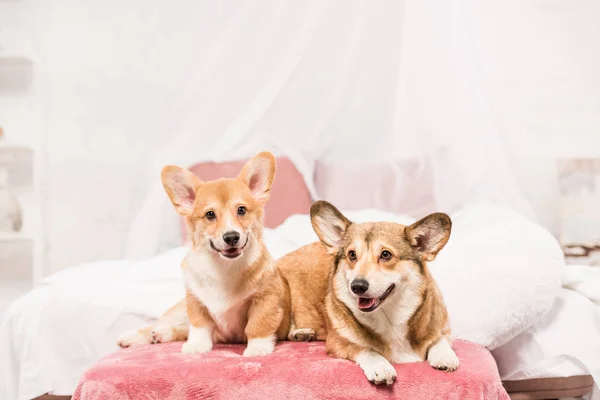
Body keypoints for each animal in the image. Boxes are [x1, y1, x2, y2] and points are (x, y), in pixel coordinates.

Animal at [117, 152, 290, 356]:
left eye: (241, 210)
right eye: (210, 214)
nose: (231, 237)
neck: (223, 268)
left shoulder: (265, 298)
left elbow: (258, 325)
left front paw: (257, 348)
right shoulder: (195, 300)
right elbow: (199, 326)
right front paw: (197, 346)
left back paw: (162, 333)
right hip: (178, 311)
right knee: (162, 323)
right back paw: (134, 336)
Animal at [278, 202, 458, 386]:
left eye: (386, 254)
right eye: (352, 254)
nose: (357, 286)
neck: (390, 318)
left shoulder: (444, 331)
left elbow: (439, 341)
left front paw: (445, 357)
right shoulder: (338, 343)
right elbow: (366, 349)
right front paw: (381, 366)